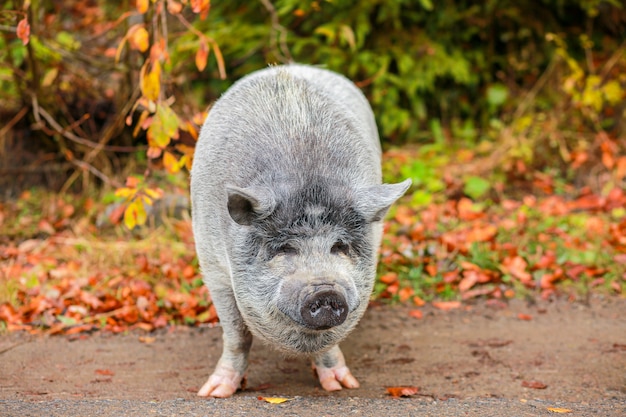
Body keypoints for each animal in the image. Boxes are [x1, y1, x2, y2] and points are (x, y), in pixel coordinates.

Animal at [193, 64, 412, 396]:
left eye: (340, 246)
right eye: (285, 248)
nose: (324, 290)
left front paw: (343, 387)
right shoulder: (212, 265)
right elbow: (237, 333)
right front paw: (213, 393)